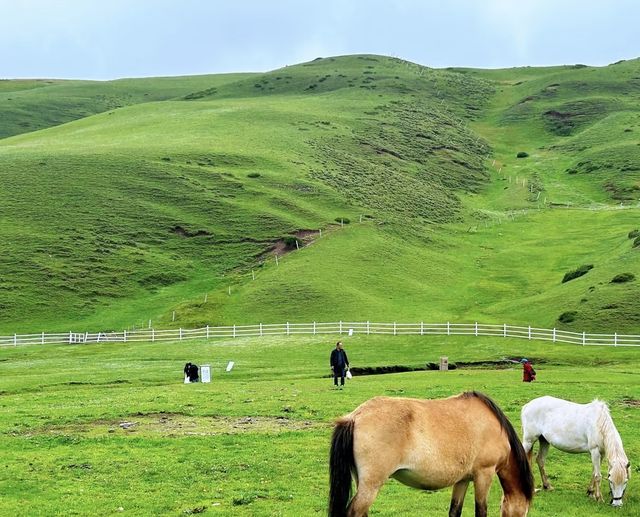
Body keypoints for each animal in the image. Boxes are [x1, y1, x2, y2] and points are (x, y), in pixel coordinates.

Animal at [328, 392, 532, 516]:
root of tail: (355, 417)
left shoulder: (463, 479)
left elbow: (454, 511)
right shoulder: (484, 474)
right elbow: (481, 512)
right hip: (372, 485)